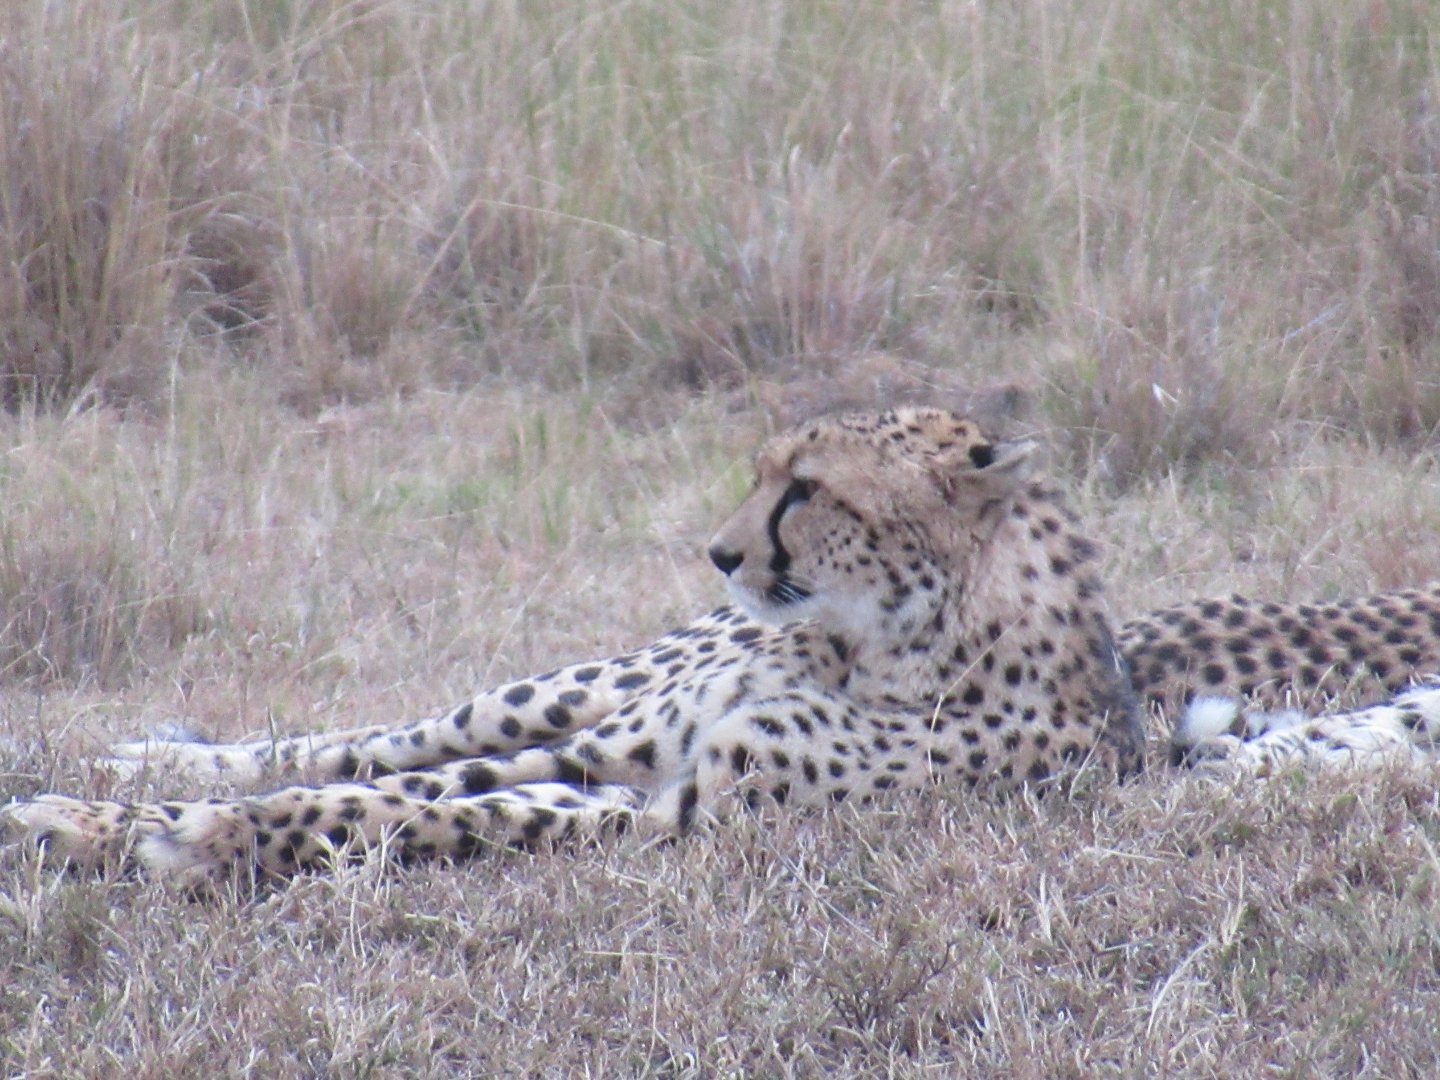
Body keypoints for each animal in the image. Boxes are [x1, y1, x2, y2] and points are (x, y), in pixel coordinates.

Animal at [5, 405, 1440, 887]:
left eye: (807, 489)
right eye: (762, 474)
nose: (720, 553)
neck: (884, 647)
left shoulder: (674, 806)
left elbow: (423, 814)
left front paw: (182, 841)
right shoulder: (619, 756)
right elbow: (381, 787)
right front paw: (145, 819)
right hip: (572, 695)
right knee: (373, 734)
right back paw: (125, 768)